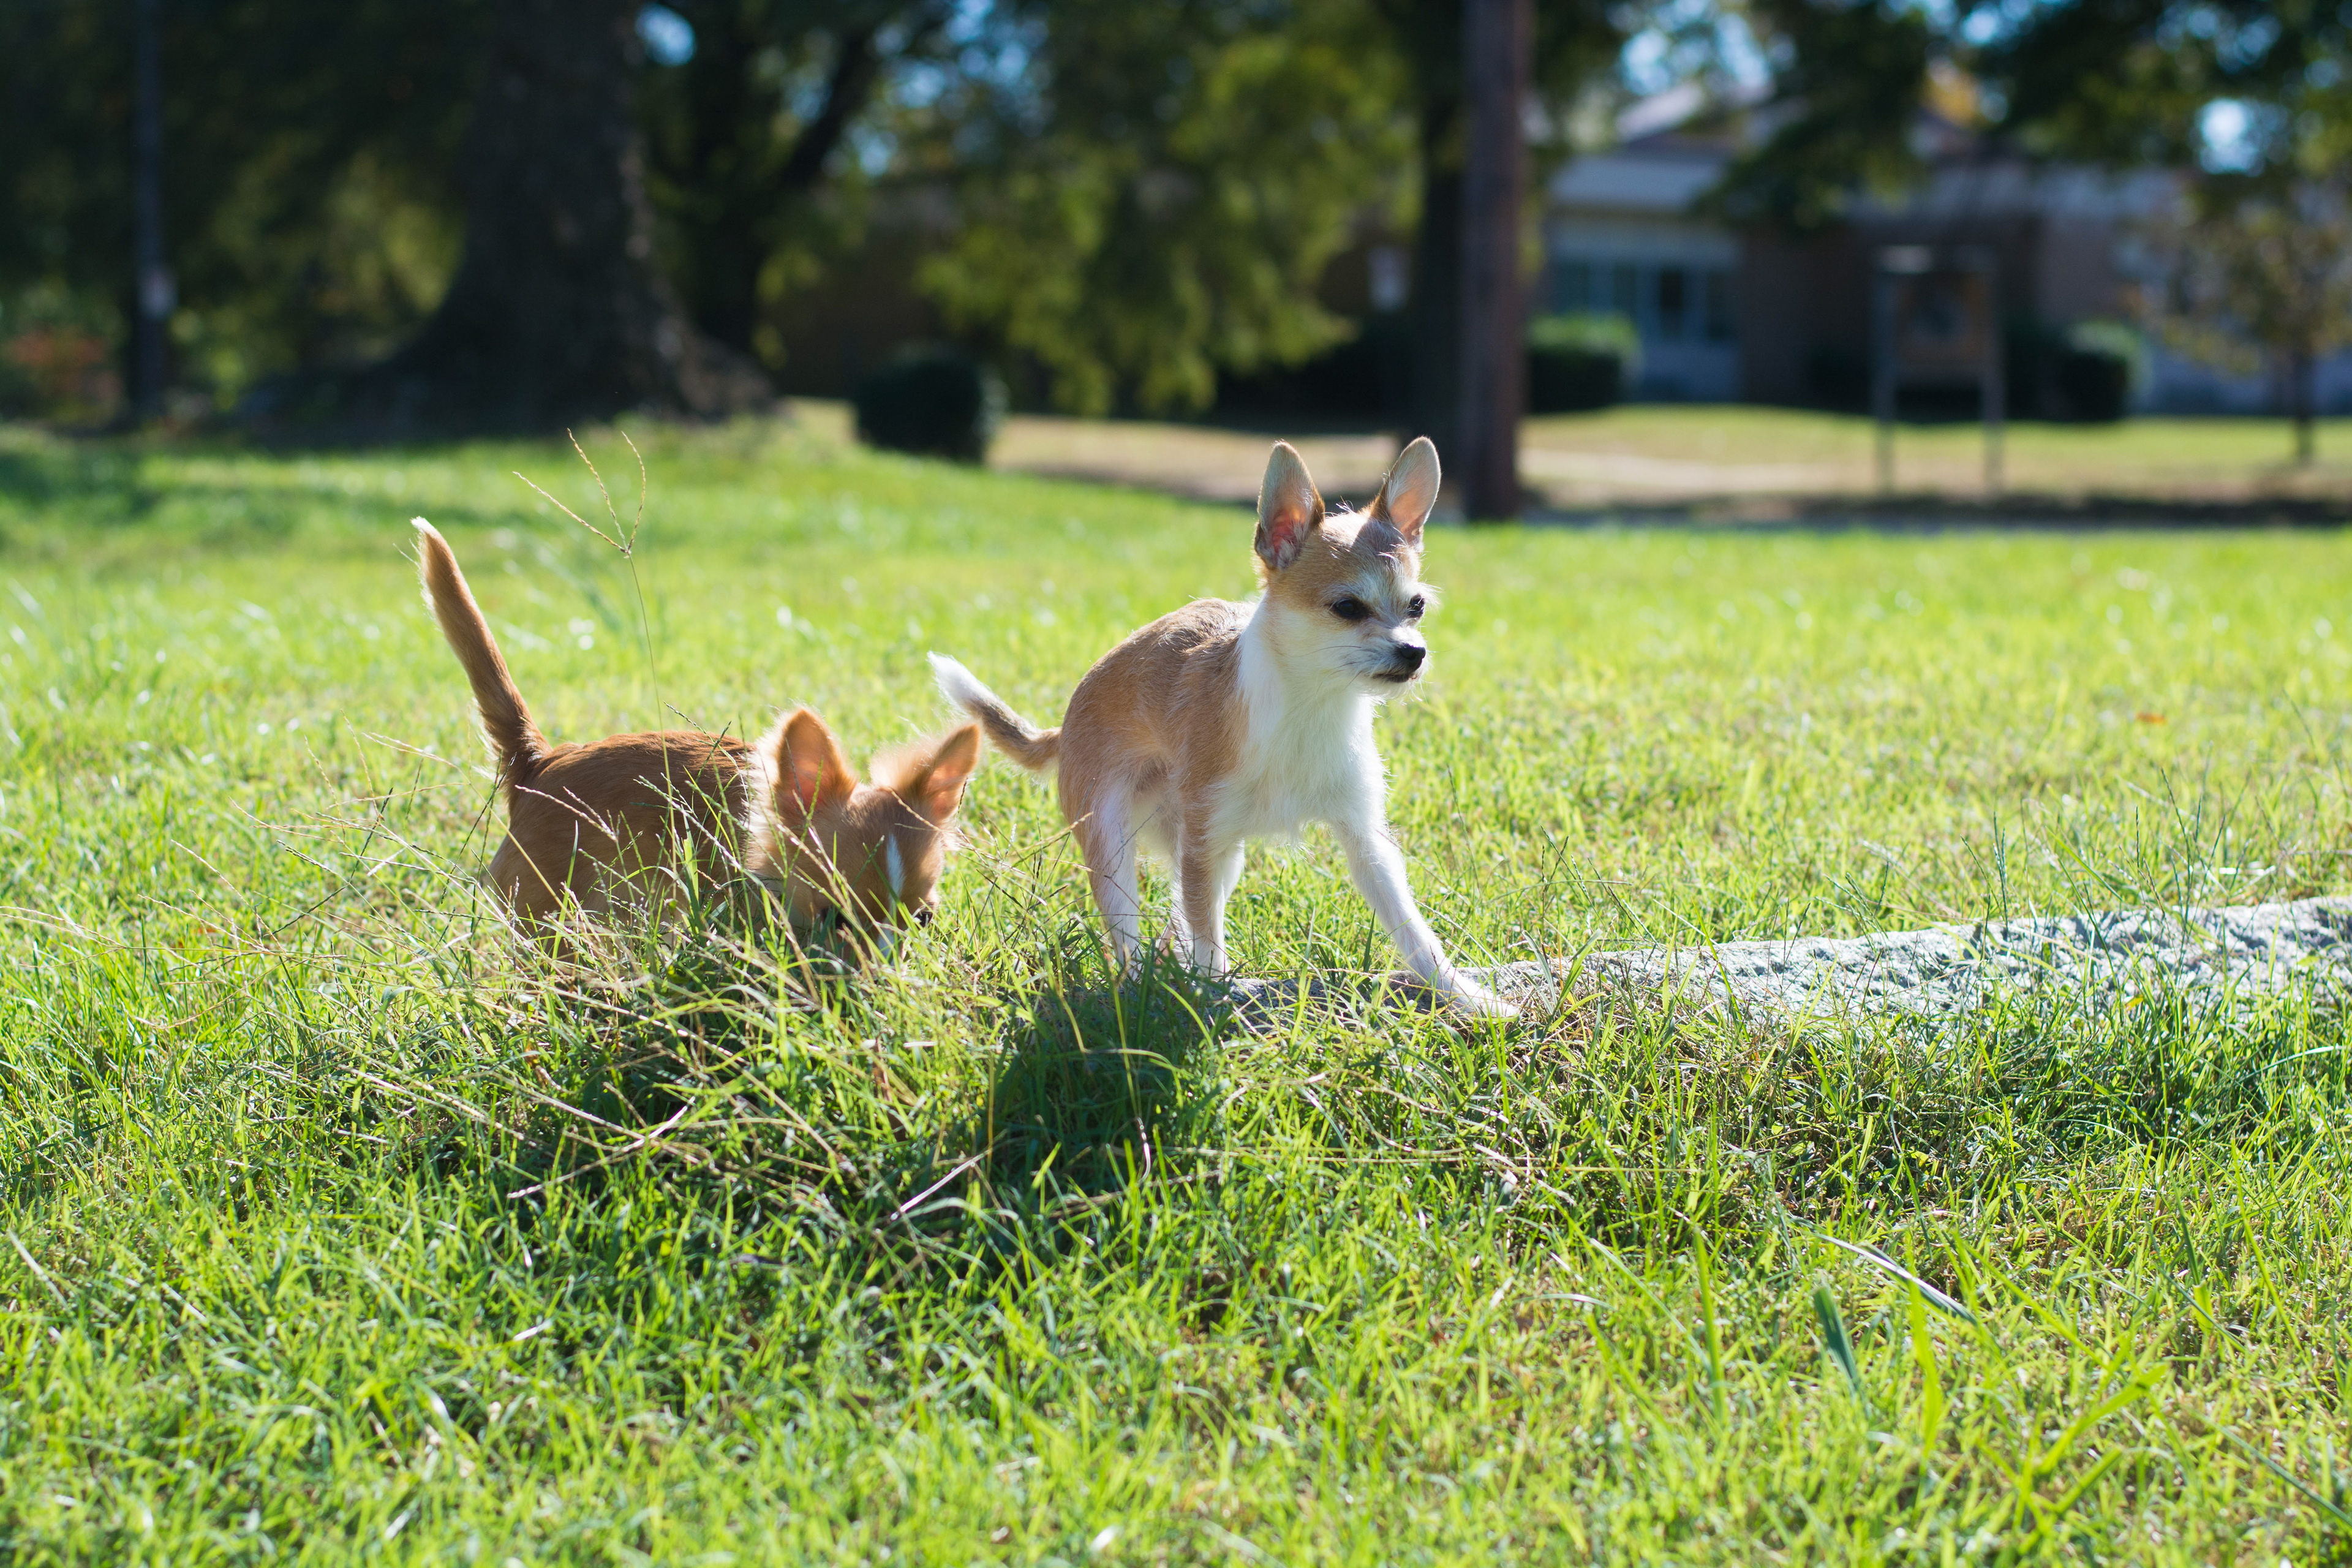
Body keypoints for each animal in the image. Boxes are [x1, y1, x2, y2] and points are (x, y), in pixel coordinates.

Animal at [929, 438, 1510, 1017]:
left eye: (1417, 607)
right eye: (1347, 607)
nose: (1414, 652)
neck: (1310, 707)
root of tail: (1065, 726)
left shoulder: (1365, 843)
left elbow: (1412, 929)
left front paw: (1469, 997)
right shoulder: (1202, 841)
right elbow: (1209, 938)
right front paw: (1212, 998)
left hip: (1217, 852)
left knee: (1179, 917)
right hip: (1115, 840)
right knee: (1130, 929)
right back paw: (1140, 988)